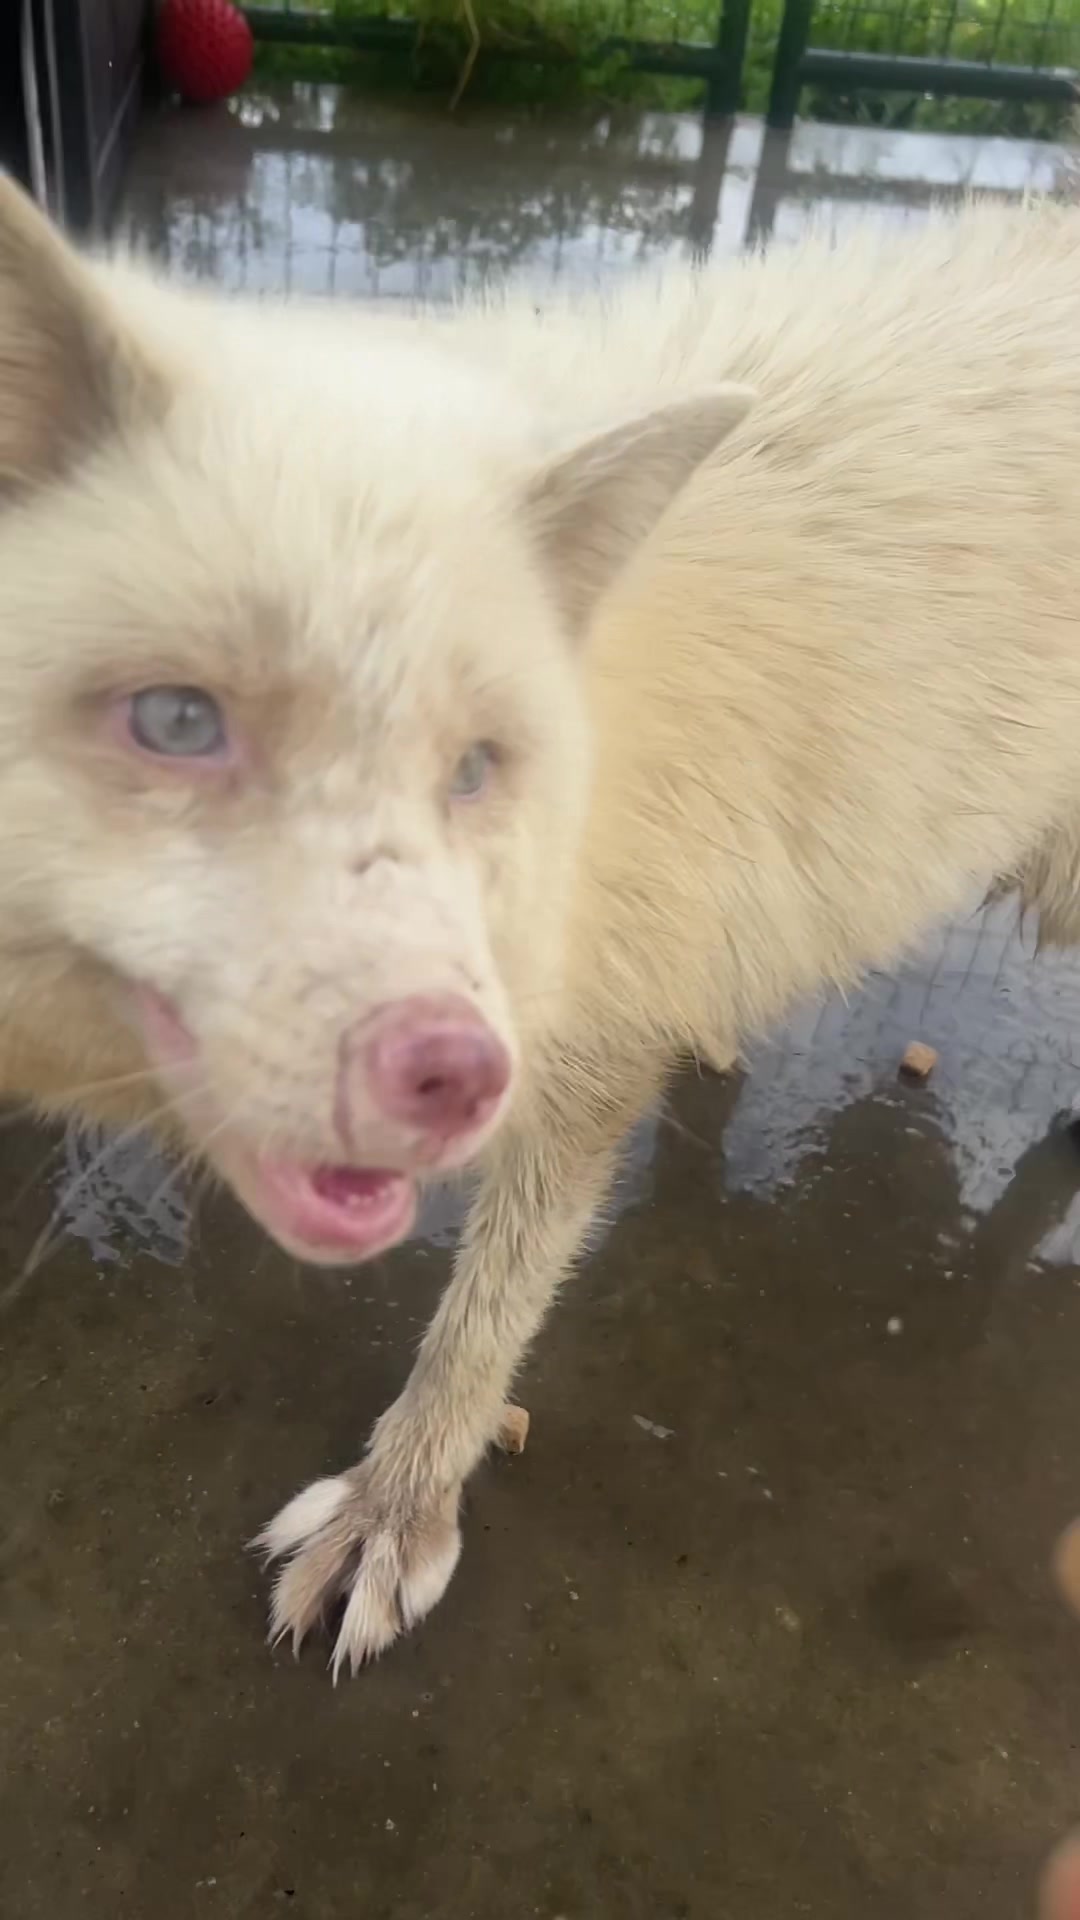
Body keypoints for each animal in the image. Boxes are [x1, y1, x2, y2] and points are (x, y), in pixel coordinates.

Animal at [2, 172, 1080, 1677]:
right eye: (175, 721)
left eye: (476, 767)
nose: (440, 1069)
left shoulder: (580, 1065)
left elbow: (482, 1318)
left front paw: (398, 1509)